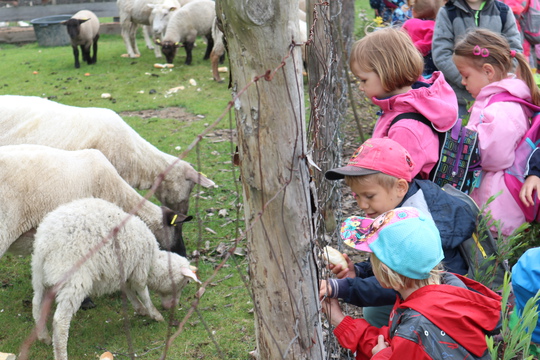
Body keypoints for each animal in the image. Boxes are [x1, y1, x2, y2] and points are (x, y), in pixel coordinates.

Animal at [31, 197, 200, 360]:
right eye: (185, 282)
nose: (173, 305)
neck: (154, 261)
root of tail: (46, 244)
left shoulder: (125, 270)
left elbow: (129, 291)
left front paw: (140, 309)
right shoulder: (140, 268)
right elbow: (143, 293)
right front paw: (155, 314)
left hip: (40, 275)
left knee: (37, 304)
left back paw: (43, 336)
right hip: (73, 278)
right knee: (60, 321)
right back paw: (60, 353)